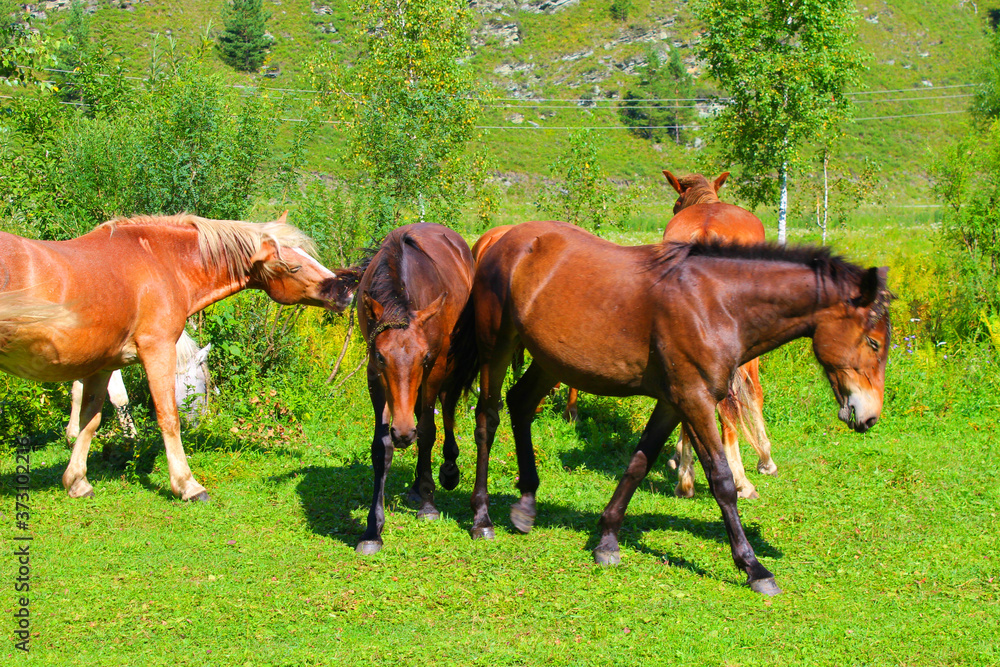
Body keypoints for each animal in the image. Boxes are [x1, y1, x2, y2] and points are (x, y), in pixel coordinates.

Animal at [354, 222, 478, 556]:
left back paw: (446, 471)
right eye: (381, 357)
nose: (402, 433)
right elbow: (381, 447)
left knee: (445, 406)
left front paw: (428, 503)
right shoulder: (375, 377)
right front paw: (372, 530)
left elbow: (427, 431)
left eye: (423, 357)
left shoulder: (435, 366)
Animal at [468, 220, 892, 596]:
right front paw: (754, 567)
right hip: (496, 348)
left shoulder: (673, 403)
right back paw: (481, 519)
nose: (869, 416)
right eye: (873, 342)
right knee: (487, 420)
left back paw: (526, 504)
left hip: (549, 361)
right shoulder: (695, 401)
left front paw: (607, 540)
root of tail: (503, 240)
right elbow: (722, 482)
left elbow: (639, 464)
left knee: (520, 405)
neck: (716, 304)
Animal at [664, 168, 780, 500]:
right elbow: (754, 394)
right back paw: (740, 480)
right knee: (731, 405)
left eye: (676, 205)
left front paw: (679, 456)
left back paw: (686, 480)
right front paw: (765, 458)